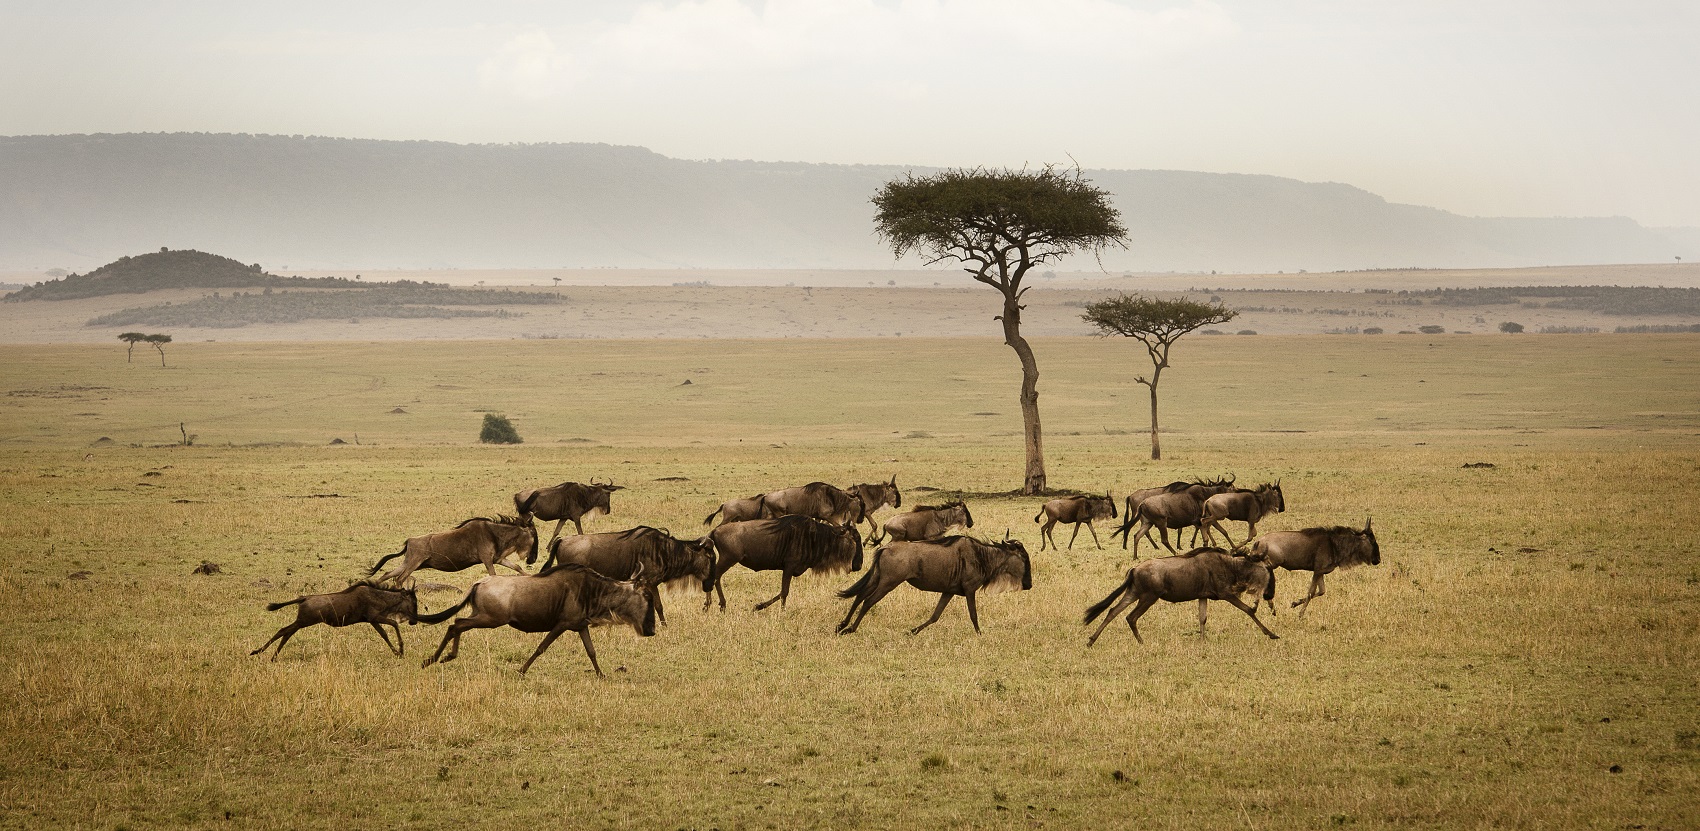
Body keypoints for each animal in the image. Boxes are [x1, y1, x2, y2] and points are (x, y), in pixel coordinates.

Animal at [249, 581, 419, 655]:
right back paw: (259, 652)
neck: (379, 596)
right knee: (284, 631)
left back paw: (272, 656)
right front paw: (401, 650)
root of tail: (304, 598)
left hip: (301, 622)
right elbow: (394, 624)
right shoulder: (375, 617)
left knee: (286, 632)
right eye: (414, 602)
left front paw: (397, 652)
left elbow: (384, 634)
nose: (414, 621)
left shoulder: (372, 620)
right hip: (304, 621)